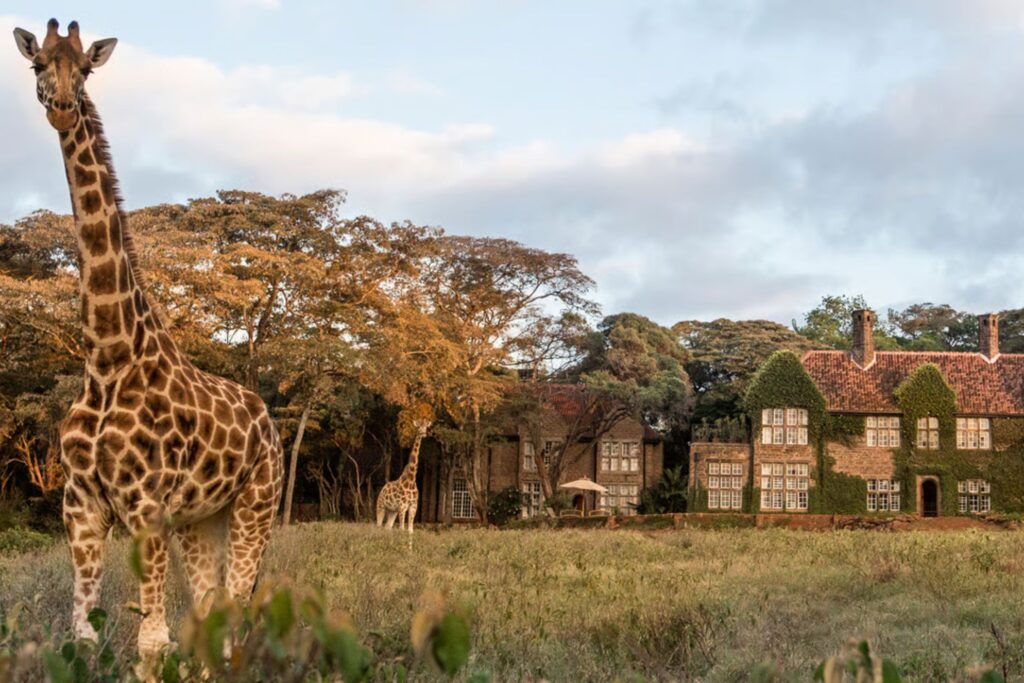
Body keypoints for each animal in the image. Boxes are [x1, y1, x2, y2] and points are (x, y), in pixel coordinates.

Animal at [13, 20, 284, 658]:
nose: (62, 108)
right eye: (38, 65)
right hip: (201, 519)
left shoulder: (146, 508)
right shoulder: (81, 508)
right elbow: (83, 633)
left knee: (236, 615)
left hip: (256, 504)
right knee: (211, 612)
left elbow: (153, 642)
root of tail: (269, 421)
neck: (108, 359)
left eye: (86, 68)